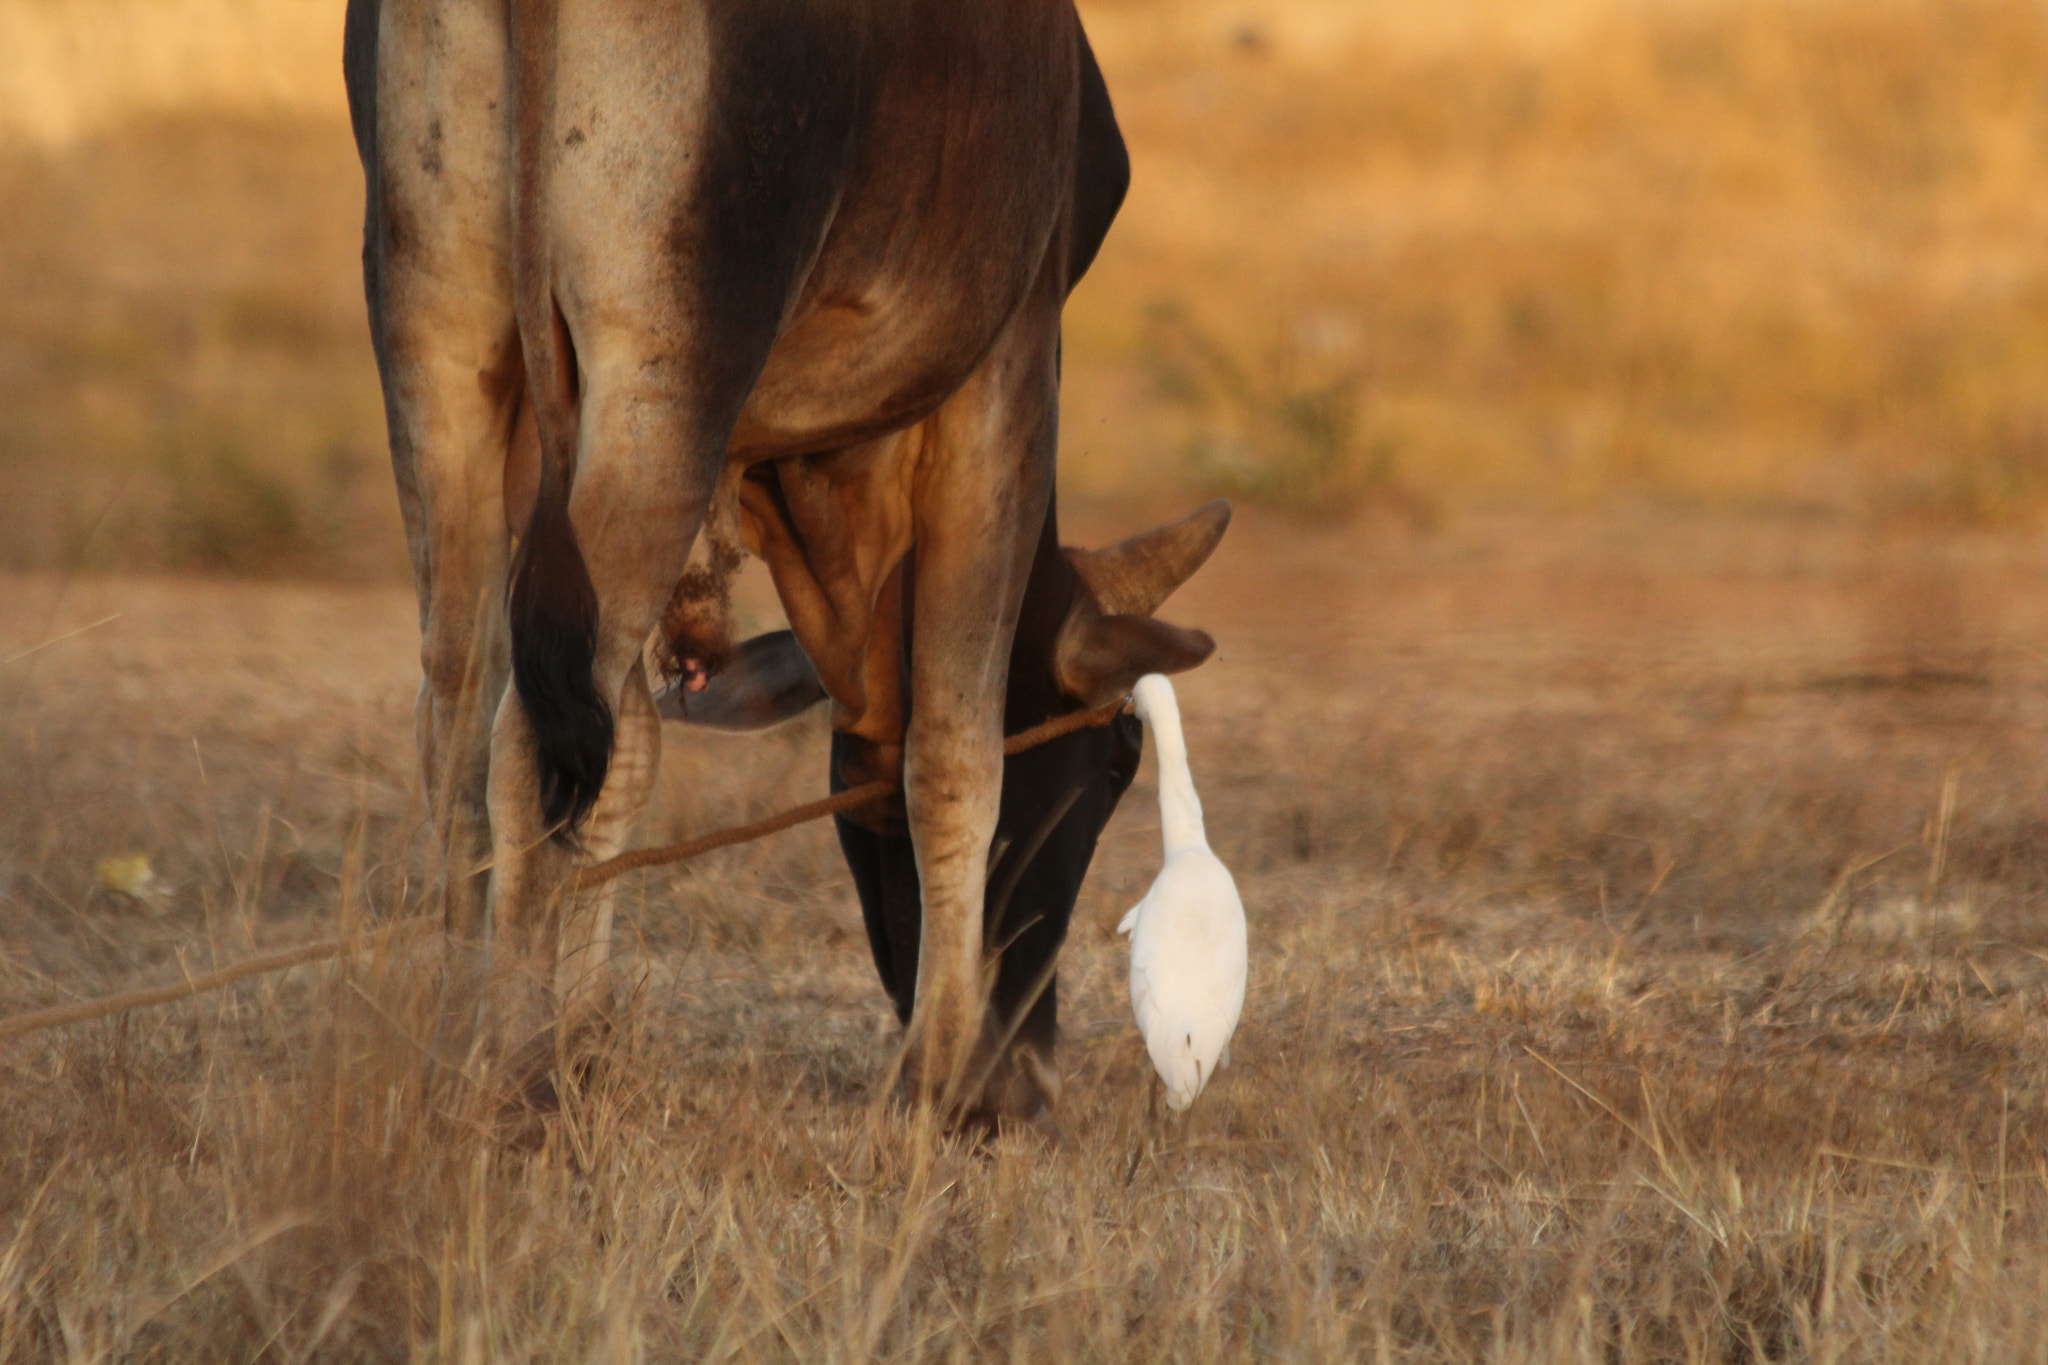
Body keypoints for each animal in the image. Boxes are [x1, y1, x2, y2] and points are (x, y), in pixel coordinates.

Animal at [342, 0, 1229, 1123]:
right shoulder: (1010, 366)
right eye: (1113, 762)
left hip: (438, 341)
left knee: (460, 711)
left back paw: (462, 1044)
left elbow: (634, 745)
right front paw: (934, 1084)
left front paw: (589, 1040)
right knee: (529, 738)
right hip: (666, 372)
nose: (1022, 1076)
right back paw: (515, 1077)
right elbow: (956, 749)